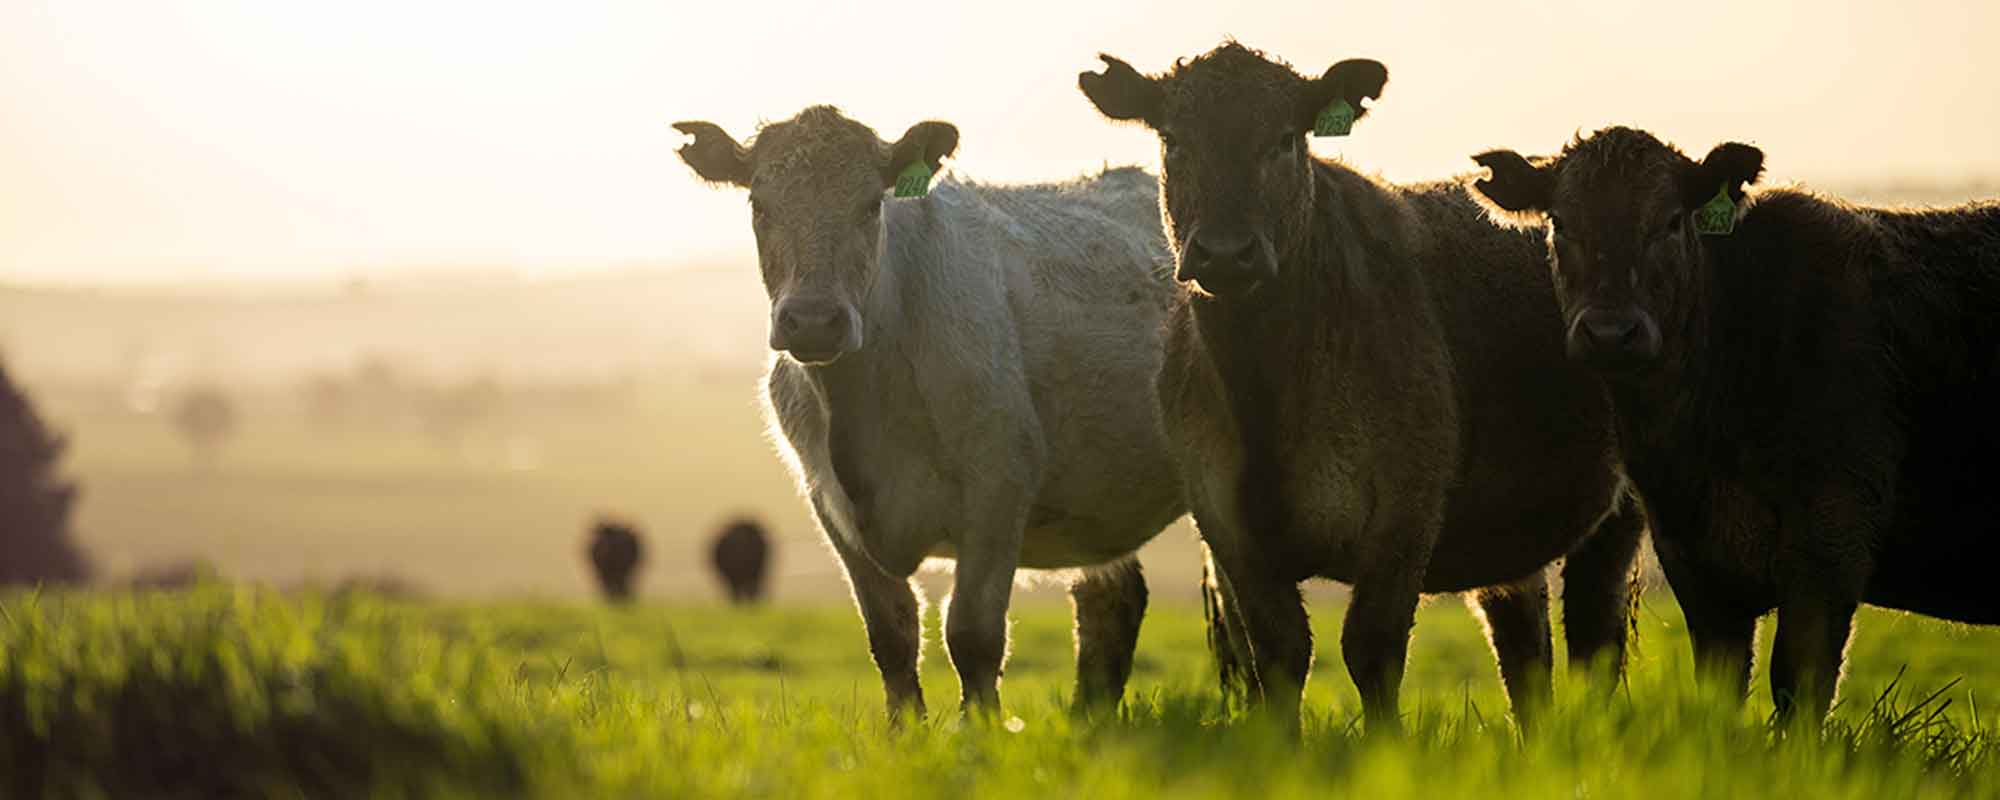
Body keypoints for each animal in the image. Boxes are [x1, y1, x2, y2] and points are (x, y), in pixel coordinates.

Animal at [673, 106, 1186, 719]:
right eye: (759, 204)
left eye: (872, 204)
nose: (814, 321)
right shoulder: (830, 503)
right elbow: (891, 637)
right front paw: (906, 733)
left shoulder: (999, 487)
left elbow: (972, 635)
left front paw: (982, 731)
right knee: (1109, 602)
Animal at [1079, 43, 1644, 735]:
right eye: (1174, 140)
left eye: (1285, 139)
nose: (1226, 254)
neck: (1265, 389)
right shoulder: (1227, 526)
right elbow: (1279, 654)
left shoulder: (1404, 512)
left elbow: (1371, 650)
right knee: (1522, 645)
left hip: (1623, 509)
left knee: (1594, 632)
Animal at [1470, 126, 2000, 725]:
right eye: (1560, 221)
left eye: (1672, 220)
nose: (1610, 333)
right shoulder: (1697, 568)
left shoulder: (1831, 547)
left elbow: (1798, 690)